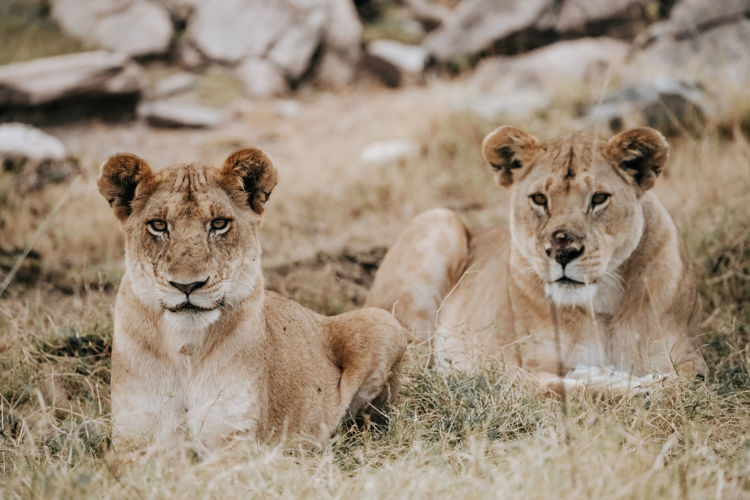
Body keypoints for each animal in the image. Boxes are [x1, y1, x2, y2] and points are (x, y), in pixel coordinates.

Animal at [97, 148, 406, 455]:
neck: (185, 347)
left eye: (219, 223)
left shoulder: (238, 441)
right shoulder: (132, 443)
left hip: (382, 321)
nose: (187, 285)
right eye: (159, 225)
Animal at [366, 126, 707, 391]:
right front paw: (613, 381)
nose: (563, 251)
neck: (603, 306)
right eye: (540, 199)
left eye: (598, 198)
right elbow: (567, 387)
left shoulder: (688, 358)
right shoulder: (533, 363)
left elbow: (684, 383)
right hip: (437, 221)